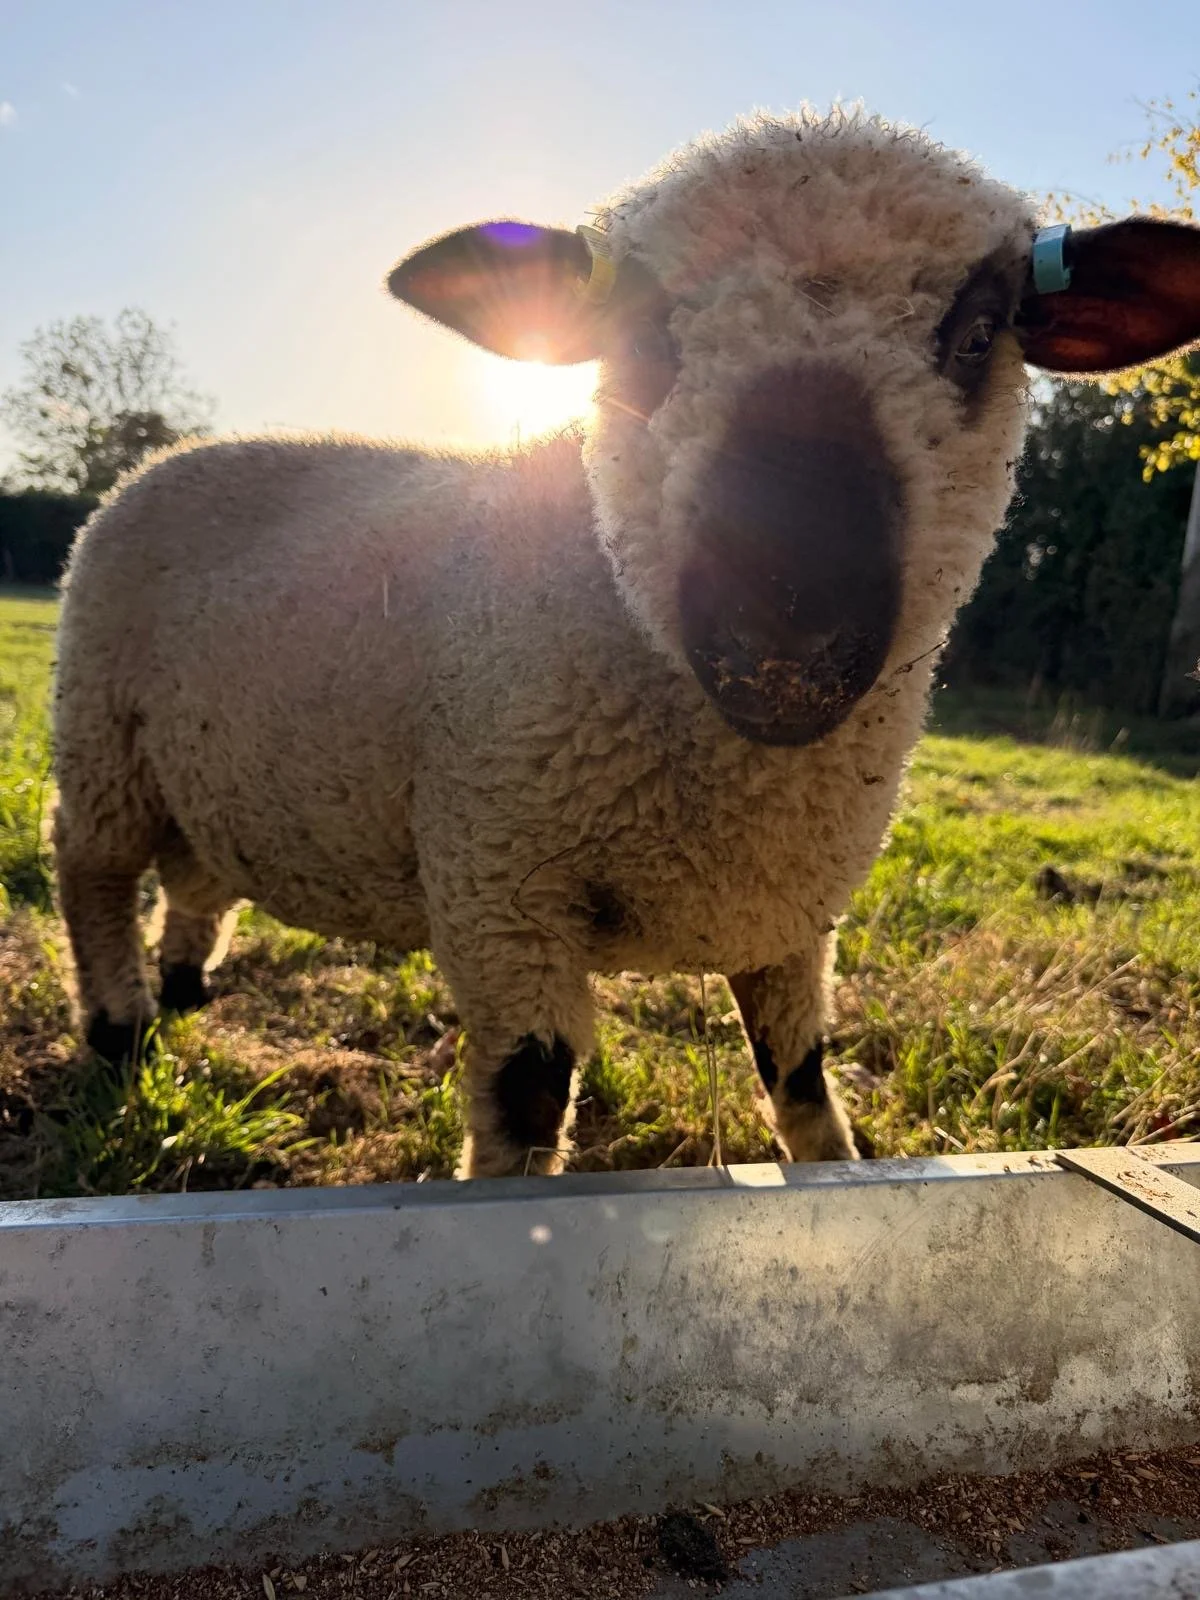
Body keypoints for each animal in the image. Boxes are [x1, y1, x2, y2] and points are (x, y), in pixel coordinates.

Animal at [52, 108, 1200, 1178]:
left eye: (976, 335)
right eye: (641, 336)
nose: (785, 635)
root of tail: (165, 458)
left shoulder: (792, 918)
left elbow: (803, 1085)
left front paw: (837, 1163)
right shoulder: (499, 889)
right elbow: (526, 1108)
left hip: (206, 771)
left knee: (195, 873)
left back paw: (187, 989)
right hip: (102, 735)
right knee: (91, 872)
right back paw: (119, 1032)